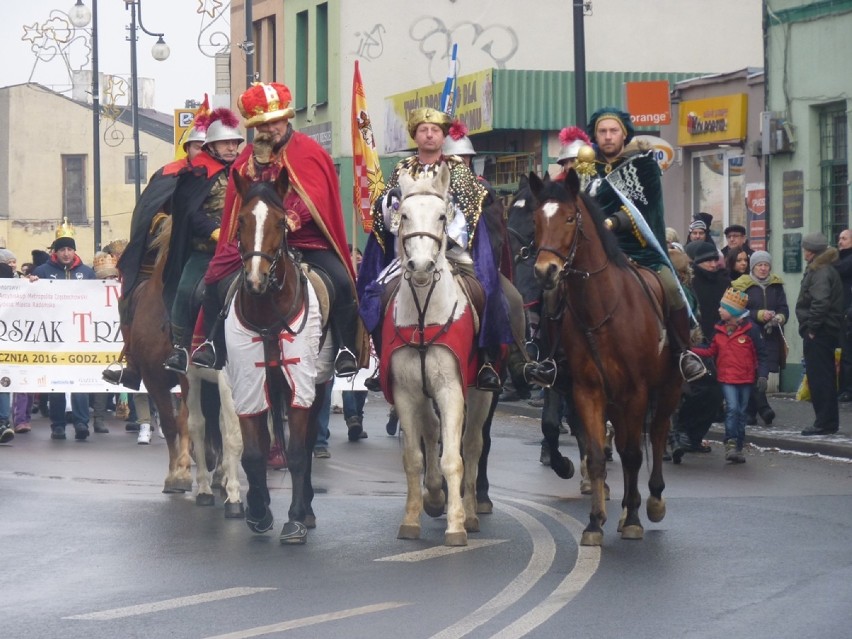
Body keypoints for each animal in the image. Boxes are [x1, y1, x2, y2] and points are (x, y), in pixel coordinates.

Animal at [226, 166, 332, 544]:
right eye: (242, 220)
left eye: (280, 222)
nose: (256, 280)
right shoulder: (247, 381)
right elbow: (253, 453)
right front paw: (259, 512)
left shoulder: (300, 380)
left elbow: (299, 452)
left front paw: (296, 519)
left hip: (318, 382)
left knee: (309, 441)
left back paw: (308, 510)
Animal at [386, 164, 492, 544]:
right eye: (403, 215)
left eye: (442, 216)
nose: (420, 266)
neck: (423, 314)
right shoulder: (405, 392)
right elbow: (413, 458)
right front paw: (413, 517)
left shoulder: (451, 390)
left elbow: (454, 459)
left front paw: (456, 525)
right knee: (431, 432)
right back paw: (433, 496)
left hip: (481, 393)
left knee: (472, 445)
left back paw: (472, 513)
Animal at [528, 169, 684, 544]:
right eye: (536, 219)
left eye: (570, 218)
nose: (545, 271)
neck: (603, 309)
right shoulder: (587, 389)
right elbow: (597, 452)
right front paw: (595, 521)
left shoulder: (638, 391)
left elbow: (632, 453)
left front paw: (633, 519)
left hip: (669, 387)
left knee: (658, 432)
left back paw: (653, 501)